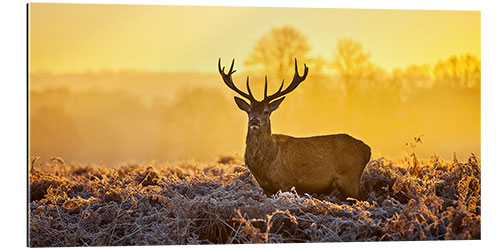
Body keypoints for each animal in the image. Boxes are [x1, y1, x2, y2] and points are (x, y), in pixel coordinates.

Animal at [219, 58, 372, 199]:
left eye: (266, 111)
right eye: (249, 111)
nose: (254, 121)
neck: (265, 163)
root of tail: (367, 149)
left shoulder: (286, 183)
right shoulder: (266, 188)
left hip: (350, 178)